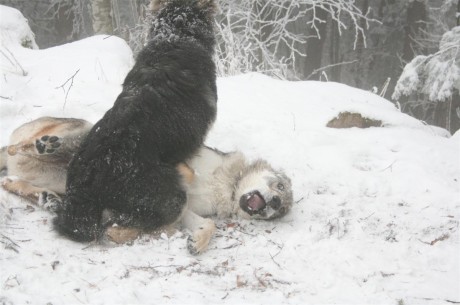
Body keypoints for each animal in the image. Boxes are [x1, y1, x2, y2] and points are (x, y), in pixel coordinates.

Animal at [0, 115, 292, 253]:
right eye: (279, 186)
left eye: (281, 209)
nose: (275, 203)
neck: (227, 187)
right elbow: (185, 176)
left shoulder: (188, 210)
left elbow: (206, 225)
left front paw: (196, 242)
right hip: (84, 131)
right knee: (21, 147)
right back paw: (45, 145)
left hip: (56, 180)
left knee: (10, 180)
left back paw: (46, 198)